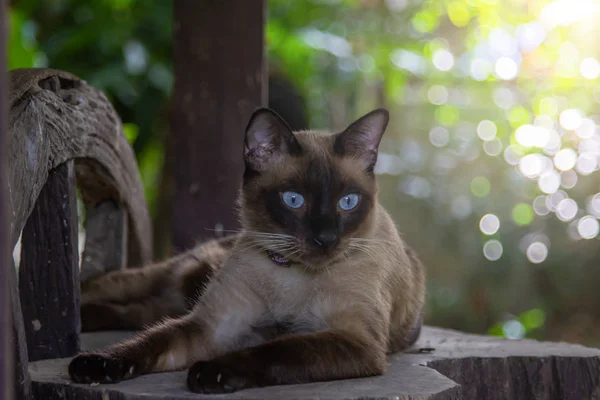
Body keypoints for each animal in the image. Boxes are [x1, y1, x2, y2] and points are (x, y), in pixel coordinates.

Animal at [69, 107, 426, 394]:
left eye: (348, 202)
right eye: (293, 199)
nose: (325, 238)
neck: (290, 273)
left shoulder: (353, 339)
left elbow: (279, 350)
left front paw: (211, 373)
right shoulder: (211, 326)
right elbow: (147, 342)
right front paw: (99, 365)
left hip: (167, 300)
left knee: (135, 312)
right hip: (162, 282)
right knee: (118, 295)